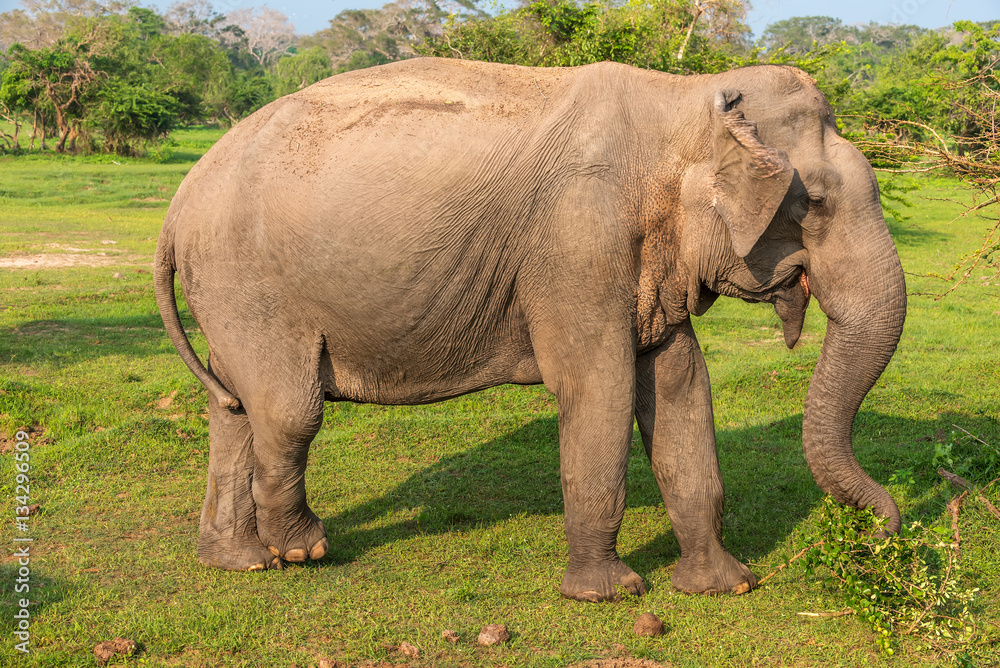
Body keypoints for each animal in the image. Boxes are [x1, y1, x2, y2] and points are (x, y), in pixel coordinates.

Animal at [154, 57, 906, 602]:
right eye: (813, 203)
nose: (882, 536)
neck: (684, 100)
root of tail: (178, 205)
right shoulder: (578, 241)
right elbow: (599, 389)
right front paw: (609, 596)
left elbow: (681, 385)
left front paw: (725, 587)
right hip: (249, 283)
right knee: (289, 410)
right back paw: (303, 548)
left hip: (228, 291)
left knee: (235, 408)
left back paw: (240, 563)